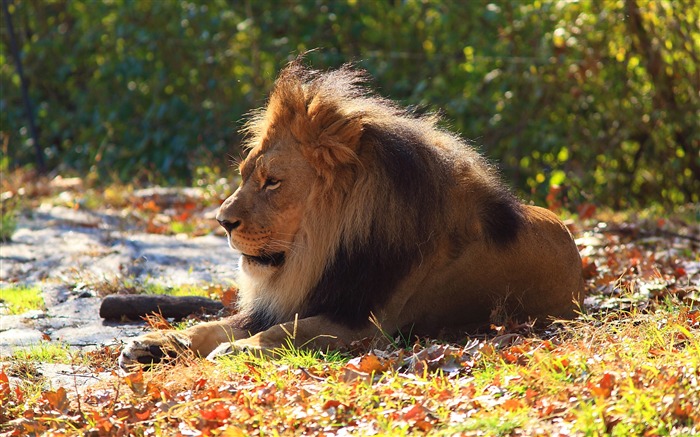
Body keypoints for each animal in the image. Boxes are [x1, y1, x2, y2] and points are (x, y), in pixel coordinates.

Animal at [117, 61, 584, 368]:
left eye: (272, 182)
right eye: (245, 175)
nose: (222, 221)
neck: (318, 250)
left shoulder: (367, 326)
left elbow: (291, 330)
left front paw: (238, 349)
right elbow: (214, 325)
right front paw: (158, 341)